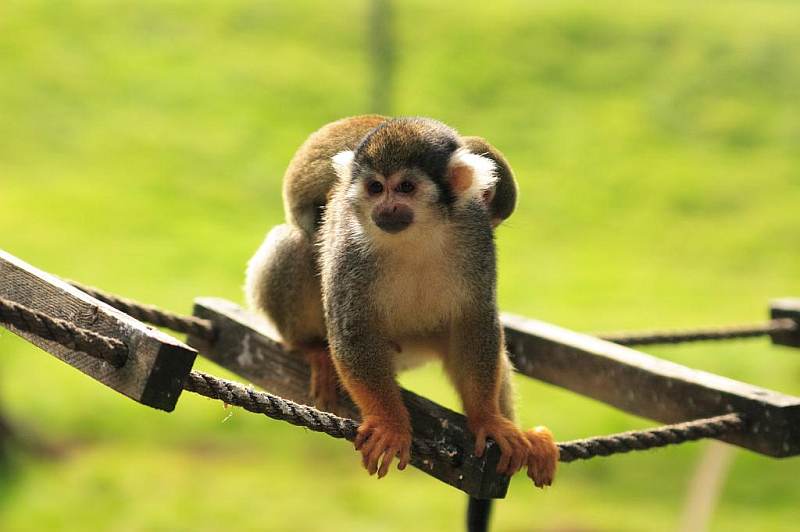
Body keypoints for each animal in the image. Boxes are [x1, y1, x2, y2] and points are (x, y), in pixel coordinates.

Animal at [244, 116, 556, 486]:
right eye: (375, 188)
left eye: (406, 187)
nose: (386, 208)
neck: (417, 233)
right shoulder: (350, 242)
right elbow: (353, 330)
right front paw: (390, 425)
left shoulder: (475, 233)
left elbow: (475, 322)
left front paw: (489, 420)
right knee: (296, 243)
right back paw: (310, 348)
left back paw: (527, 437)